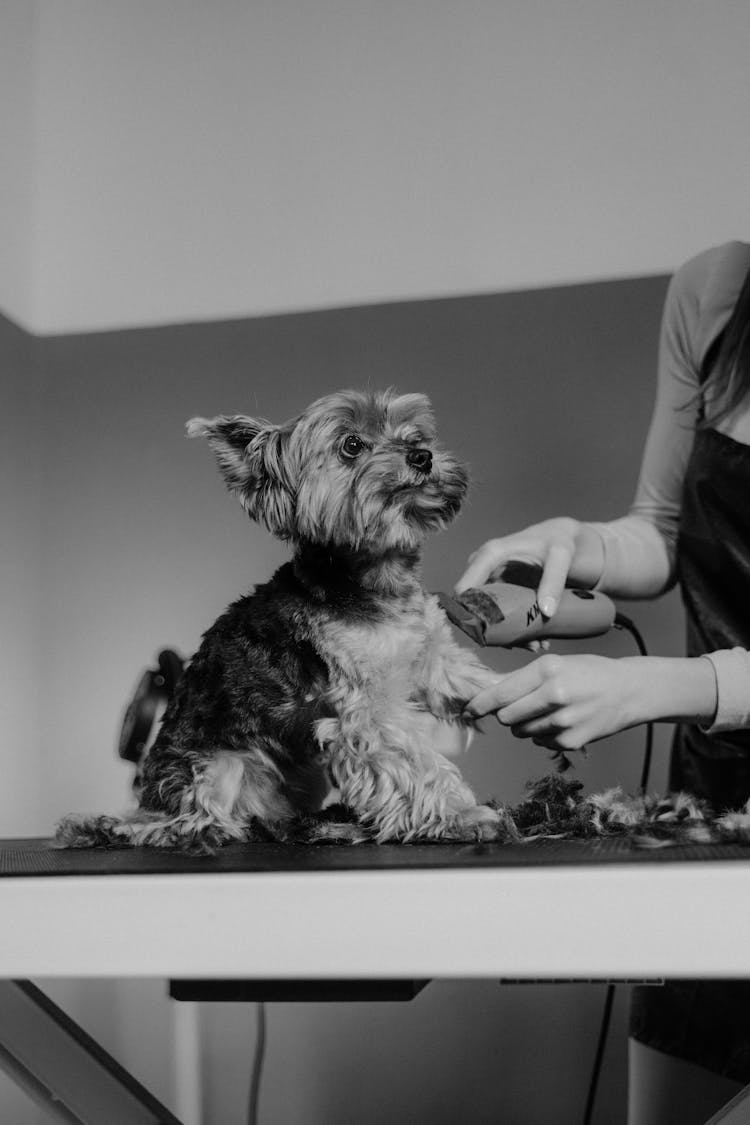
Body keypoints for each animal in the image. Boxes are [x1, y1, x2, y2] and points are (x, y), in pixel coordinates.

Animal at [60, 391, 503, 846]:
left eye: (416, 434)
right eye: (352, 445)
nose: (422, 455)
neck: (377, 578)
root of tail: (147, 802)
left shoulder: (431, 658)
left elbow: (468, 680)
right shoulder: (367, 707)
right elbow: (412, 761)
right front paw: (460, 815)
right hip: (217, 767)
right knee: (182, 823)